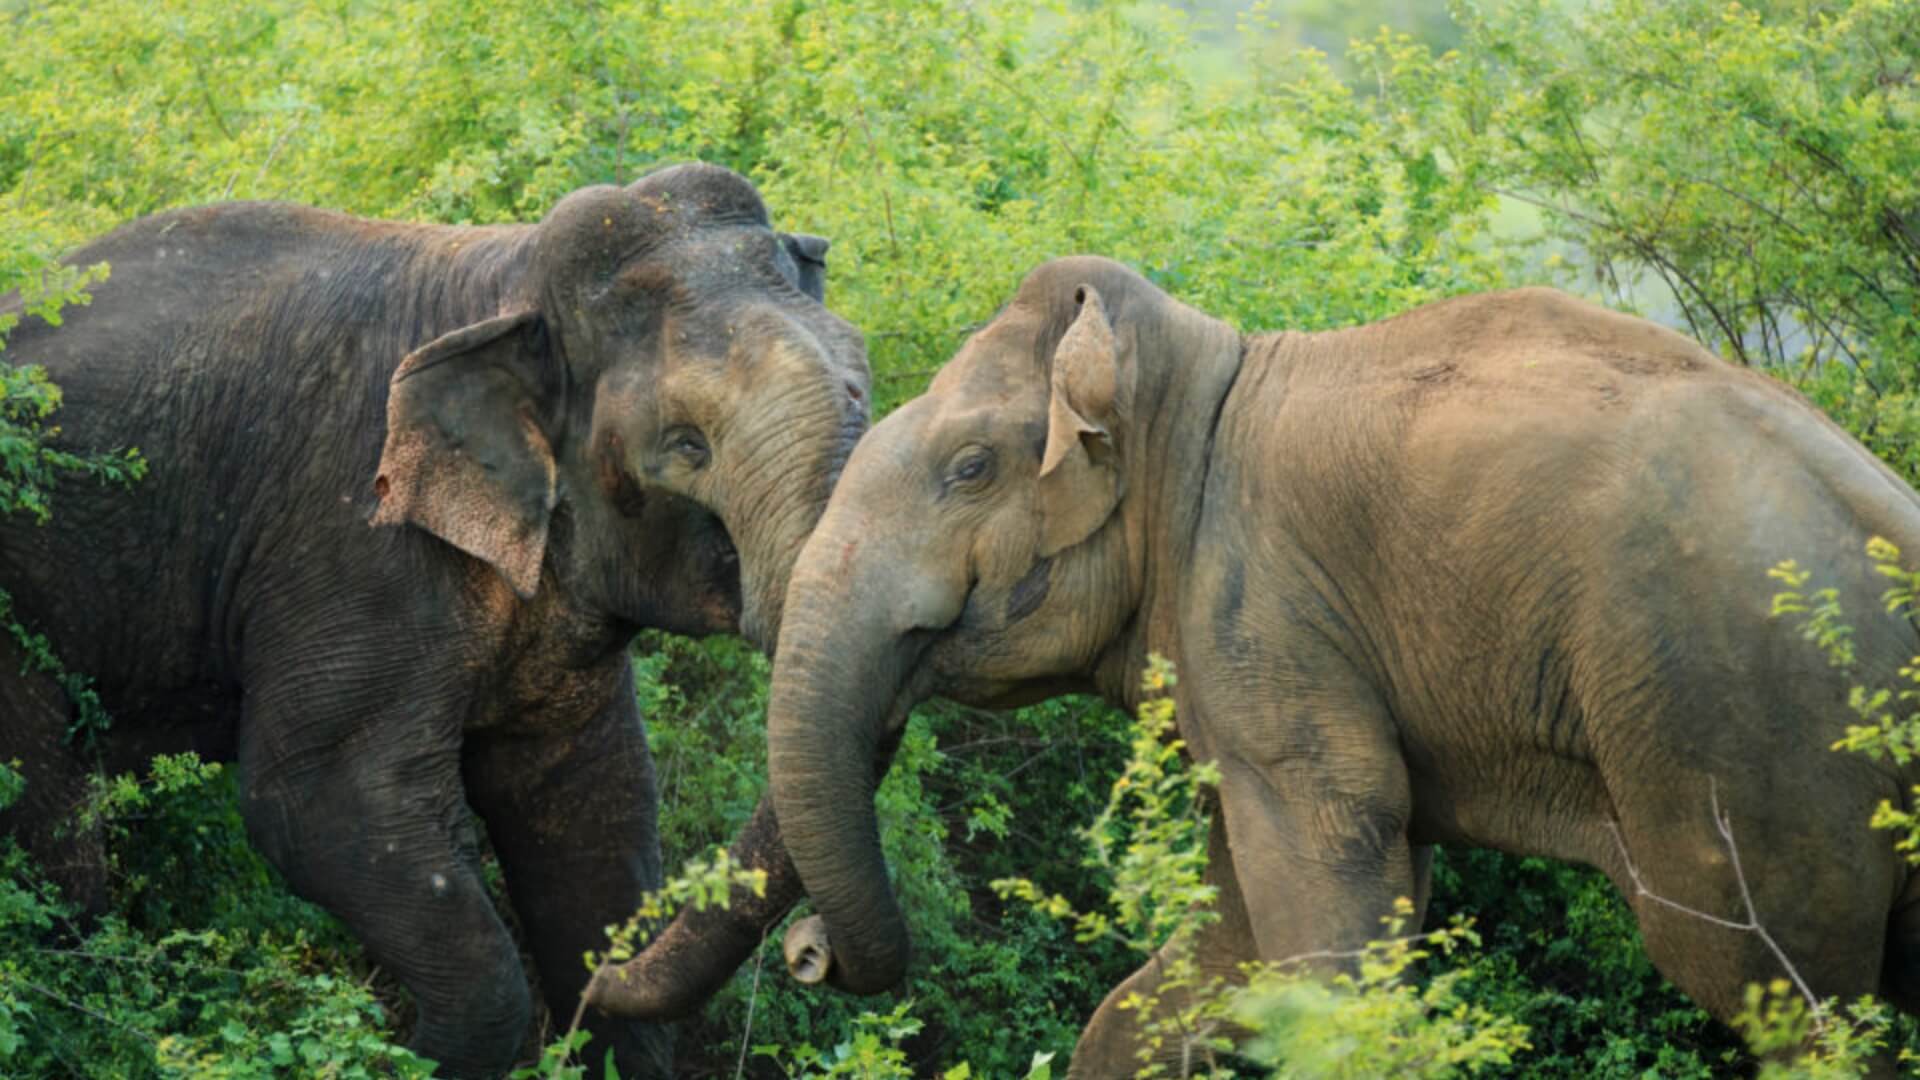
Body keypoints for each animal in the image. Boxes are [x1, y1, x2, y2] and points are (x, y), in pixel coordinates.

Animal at [0, 163, 868, 1077]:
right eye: (686, 446)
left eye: (867, 388)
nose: (811, 955)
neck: (506, 277)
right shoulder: (354, 546)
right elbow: (317, 802)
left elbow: (590, 809)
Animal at [598, 256, 1920, 1074]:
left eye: (970, 470)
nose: (809, 954)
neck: (1201, 375)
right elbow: (1225, 955)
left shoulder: (1264, 618)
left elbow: (1329, 941)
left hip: (1750, 739)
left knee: (1780, 994)